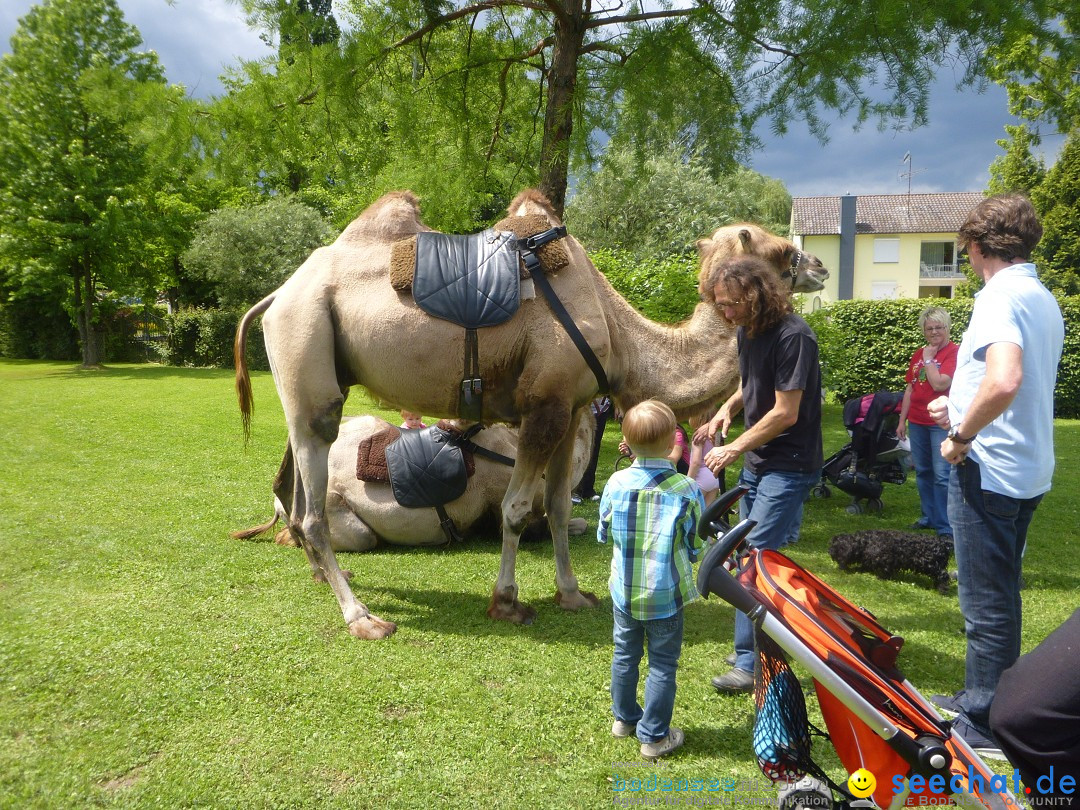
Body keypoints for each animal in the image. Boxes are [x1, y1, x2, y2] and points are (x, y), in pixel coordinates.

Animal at [825, 529, 954, 591]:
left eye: (835, 547)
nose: (829, 552)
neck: (865, 541)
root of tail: (943, 543)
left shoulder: (887, 560)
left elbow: (886, 571)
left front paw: (881, 578)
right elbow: (865, 565)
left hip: (931, 566)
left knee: (944, 576)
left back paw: (942, 589)